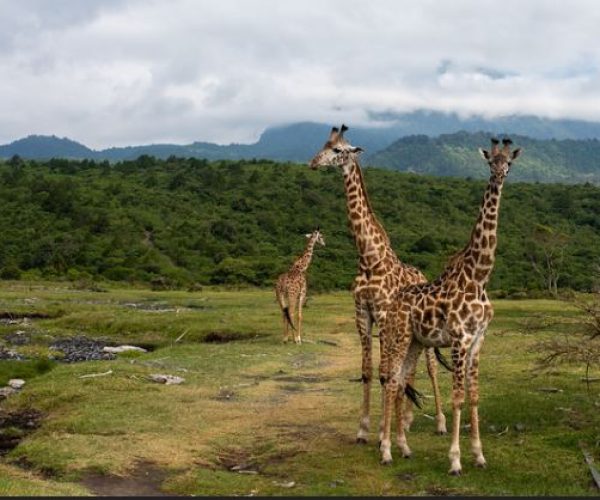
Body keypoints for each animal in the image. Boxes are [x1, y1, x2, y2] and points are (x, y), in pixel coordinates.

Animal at [308, 125, 448, 442]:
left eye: (339, 150)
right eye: (323, 145)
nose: (313, 163)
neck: (368, 258)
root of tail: (423, 276)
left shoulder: (383, 315)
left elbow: (386, 373)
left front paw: (384, 434)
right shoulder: (362, 314)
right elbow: (368, 371)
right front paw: (363, 430)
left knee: (430, 368)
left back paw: (440, 423)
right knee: (410, 369)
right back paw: (406, 420)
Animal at [382, 139, 524, 474]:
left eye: (509, 163)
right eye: (491, 162)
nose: (499, 177)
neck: (479, 276)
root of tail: (393, 303)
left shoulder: (478, 340)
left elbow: (474, 396)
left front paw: (479, 455)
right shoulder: (459, 339)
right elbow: (457, 397)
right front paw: (456, 460)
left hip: (416, 343)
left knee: (400, 382)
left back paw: (404, 448)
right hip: (399, 337)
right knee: (392, 382)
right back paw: (386, 451)